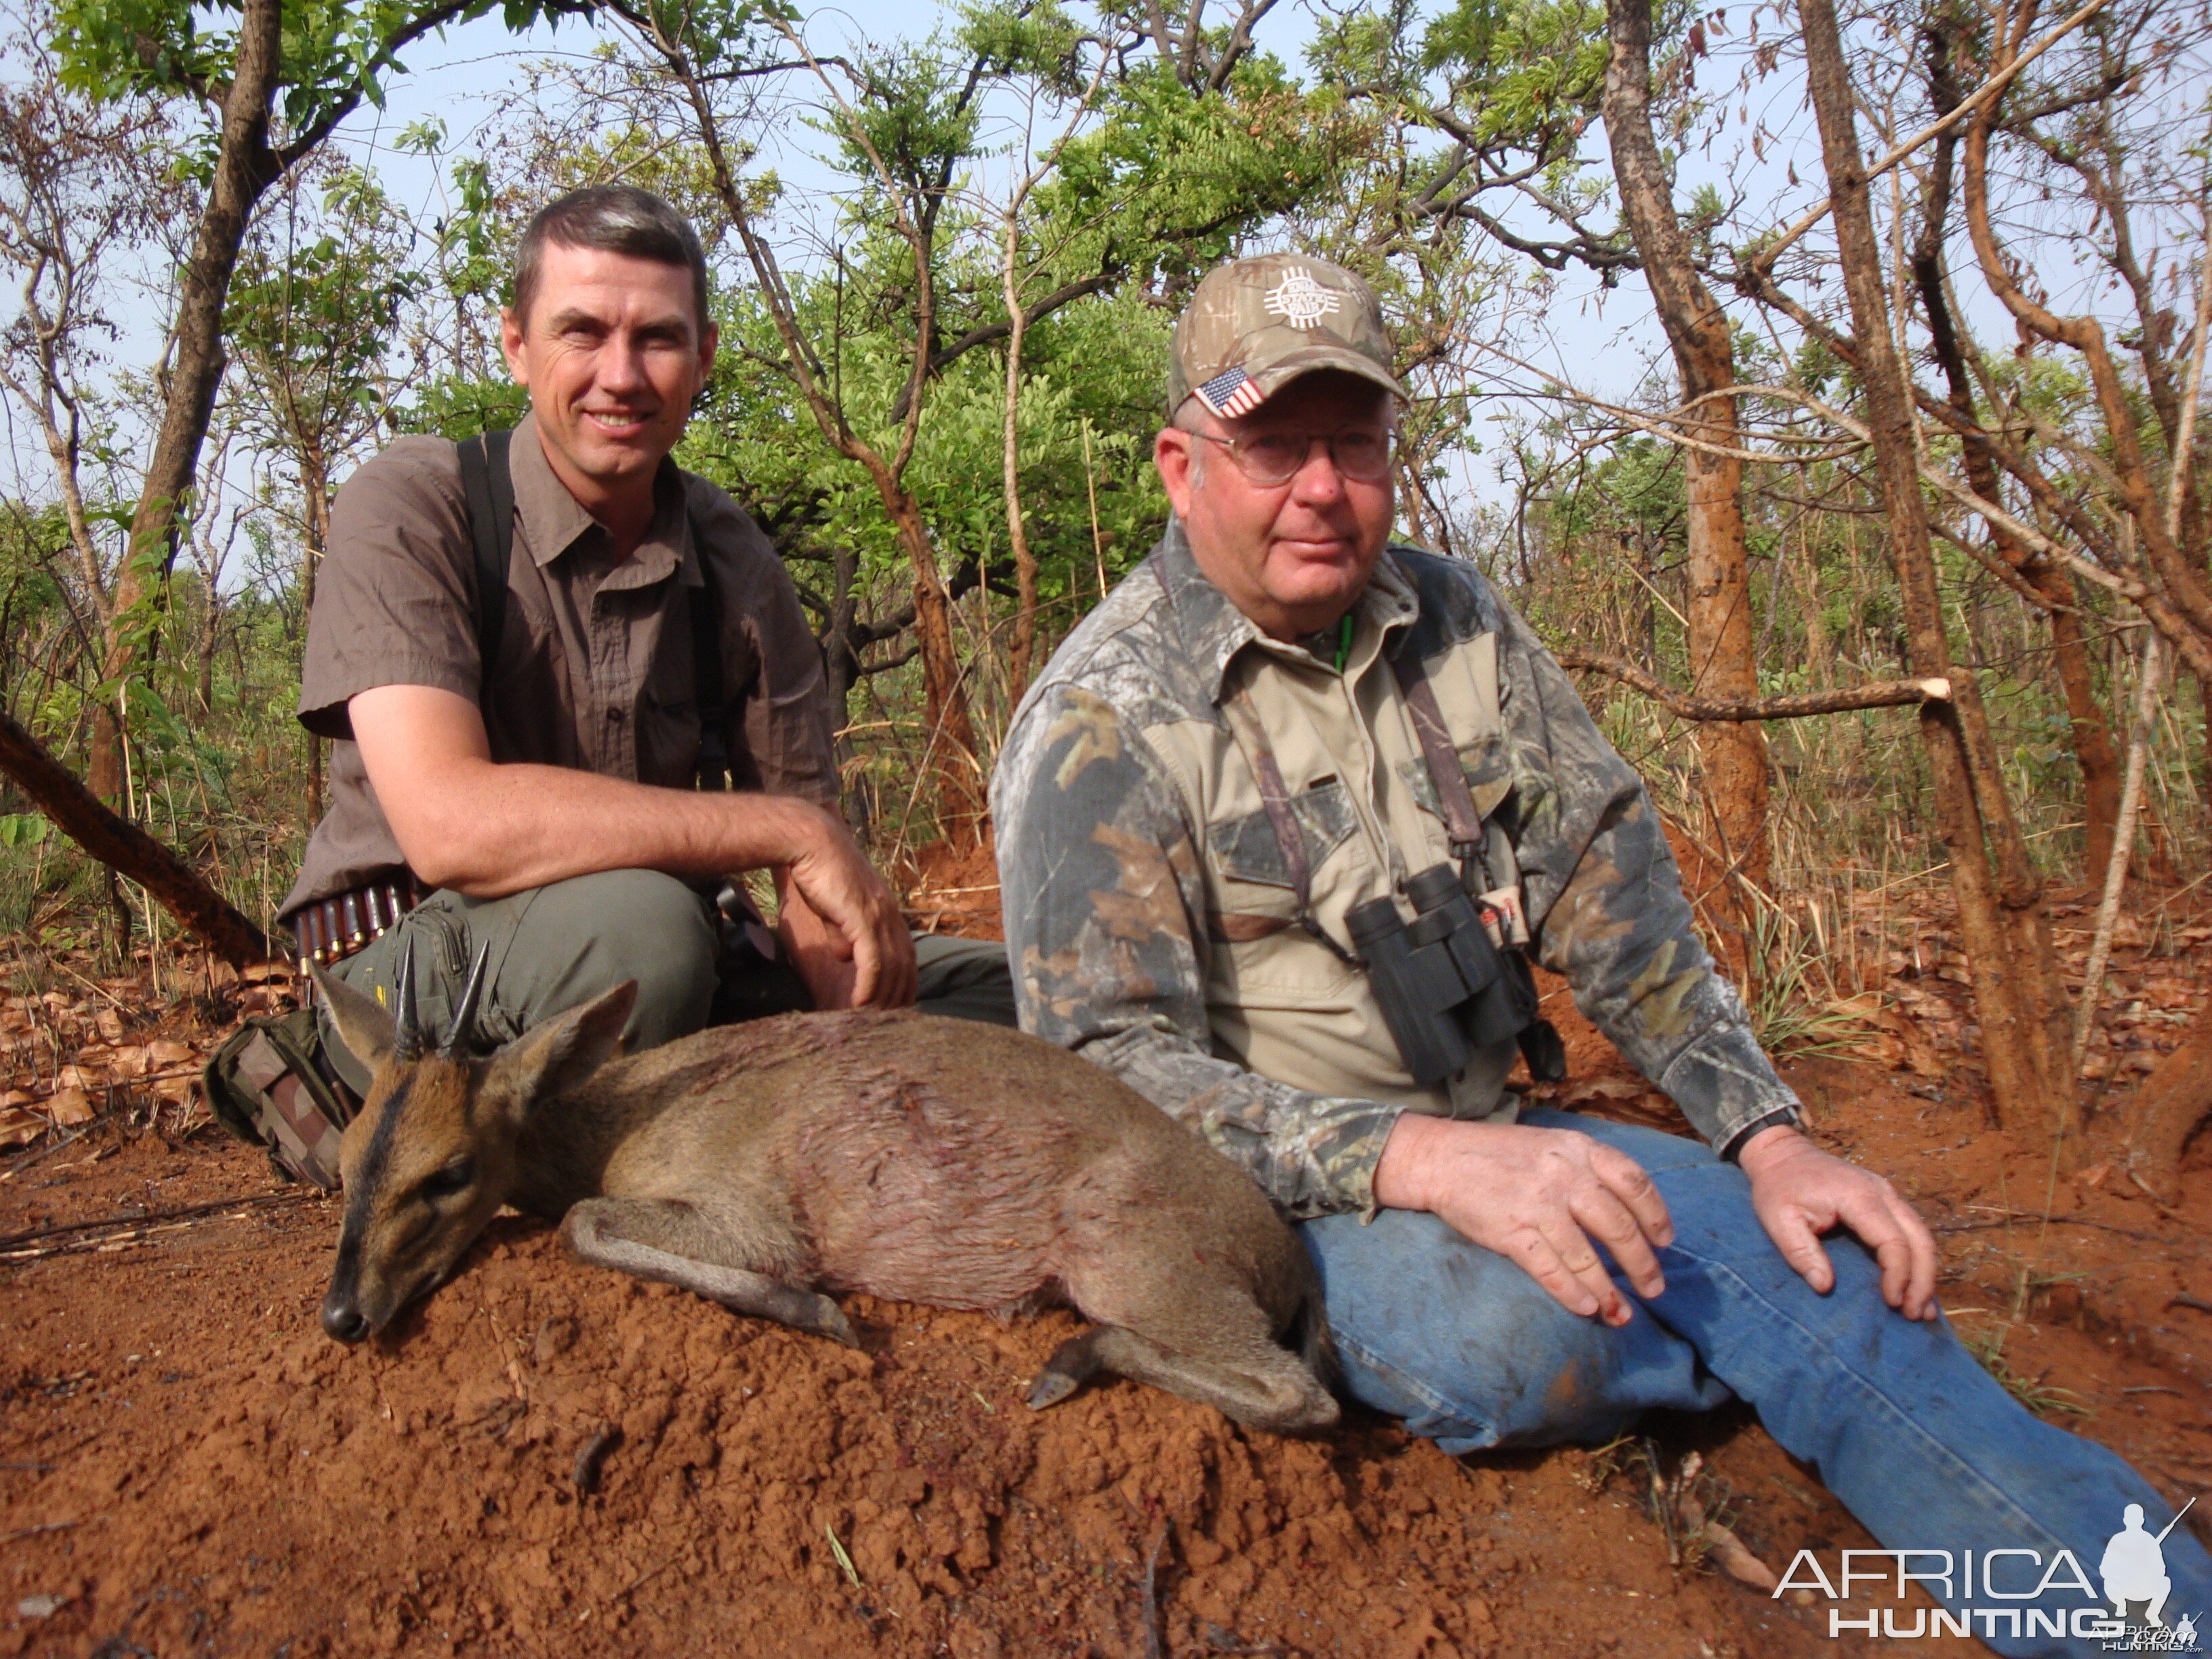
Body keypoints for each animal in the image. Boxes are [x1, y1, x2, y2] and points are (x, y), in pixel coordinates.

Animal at [314, 946, 1336, 1442]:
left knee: (1304, 1397)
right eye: (345, 1157)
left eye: (450, 1171)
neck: (616, 1123)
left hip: (1139, 1266)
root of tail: (1286, 1252)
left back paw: (1063, 1365)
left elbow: (581, 1223)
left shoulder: (751, 1216)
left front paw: (823, 1313)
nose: (343, 1316)